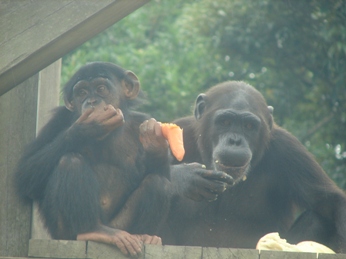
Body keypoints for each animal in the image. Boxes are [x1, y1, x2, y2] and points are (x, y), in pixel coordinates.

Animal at [15, 61, 172, 258]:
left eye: (101, 88)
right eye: (82, 92)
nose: (91, 101)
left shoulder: (142, 120)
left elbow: (164, 175)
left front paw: (155, 142)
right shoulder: (58, 120)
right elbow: (25, 175)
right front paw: (88, 128)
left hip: (122, 227)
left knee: (159, 183)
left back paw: (145, 236)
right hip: (63, 234)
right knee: (71, 162)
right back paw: (94, 231)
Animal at [164, 82, 346, 254]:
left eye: (249, 126)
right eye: (225, 122)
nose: (235, 141)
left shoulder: (290, 151)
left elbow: (331, 201)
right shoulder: (180, 131)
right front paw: (186, 177)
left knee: (319, 218)